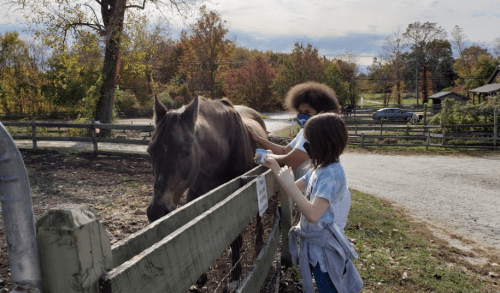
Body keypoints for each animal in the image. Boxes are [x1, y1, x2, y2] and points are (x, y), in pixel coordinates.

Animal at [146, 94, 268, 288]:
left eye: (186, 150)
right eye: (150, 151)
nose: (157, 211)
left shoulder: (238, 195)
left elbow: (235, 237)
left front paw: (235, 276)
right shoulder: (195, 195)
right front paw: (200, 277)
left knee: (258, 218)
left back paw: (258, 242)